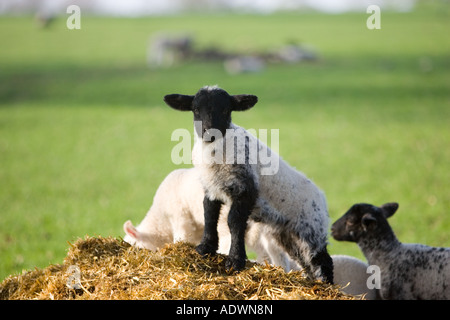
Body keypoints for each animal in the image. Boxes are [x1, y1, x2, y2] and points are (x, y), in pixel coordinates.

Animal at [163, 85, 332, 282]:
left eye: (225, 110)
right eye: (196, 109)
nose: (209, 132)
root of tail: (322, 197)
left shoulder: (246, 189)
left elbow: (234, 222)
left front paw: (235, 261)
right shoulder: (211, 187)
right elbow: (209, 215)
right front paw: (205, 248)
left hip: (313, 229)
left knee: (323, 261)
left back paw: (326, 284)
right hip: (287, 234)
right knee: (307, 262)